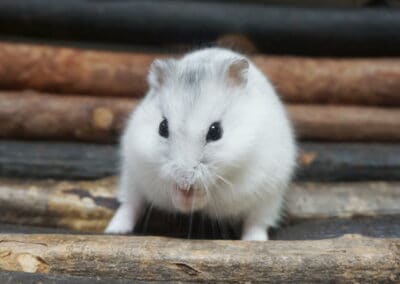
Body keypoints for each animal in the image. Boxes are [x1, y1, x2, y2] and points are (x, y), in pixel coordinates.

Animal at [104, 47, 296, 241]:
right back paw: (115, 230)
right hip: (131, 179)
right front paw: (182, 197)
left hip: (269, 198)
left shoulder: (235, 184)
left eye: (216, 131)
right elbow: (169, 190)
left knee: (257, 222)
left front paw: (192, 197)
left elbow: (207, 194)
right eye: (162, 127)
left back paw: (254, 240)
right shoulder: (146, 167)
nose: (184, 181)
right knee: (130, 205)